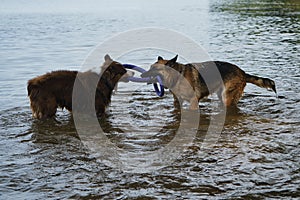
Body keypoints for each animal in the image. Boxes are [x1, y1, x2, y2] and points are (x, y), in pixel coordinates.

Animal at [141, 55, 276, 110]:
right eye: (150, 67)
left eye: (154, 69)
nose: (142, 75)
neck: (178, 76)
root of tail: (242, 72)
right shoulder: (177, 101)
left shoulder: (193, 102)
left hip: (227, 97)